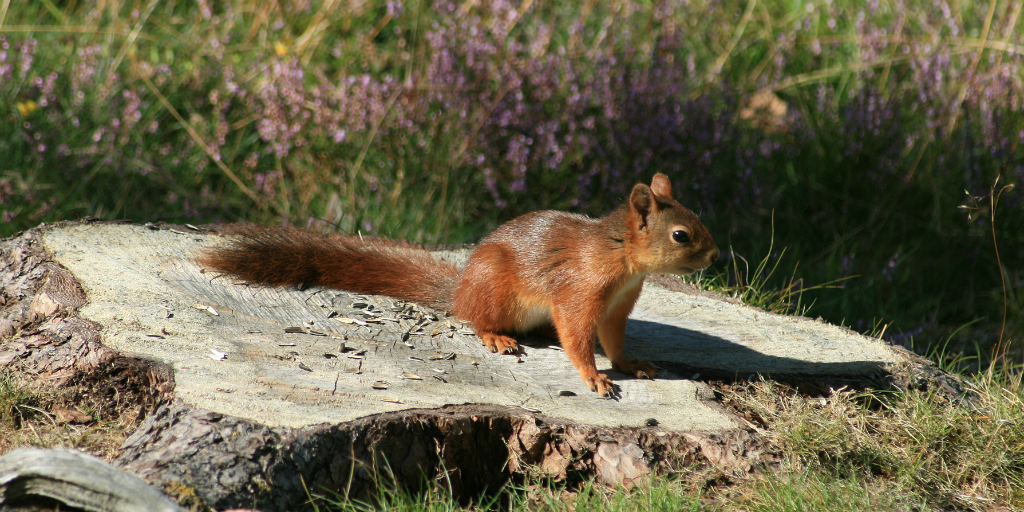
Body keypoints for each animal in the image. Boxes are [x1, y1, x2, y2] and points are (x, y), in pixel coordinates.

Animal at [197, 173, 712, 395]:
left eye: (697, 219)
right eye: (681, 235)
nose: (716, 256)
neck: (622, 260)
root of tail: (461, 286)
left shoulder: (617, 307)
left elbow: (613, 340)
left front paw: (631, 365)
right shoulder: (579, 291)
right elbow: (577, 337)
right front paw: (594, 377)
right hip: (494, 289)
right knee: (475, 318)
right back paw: (497, 337)